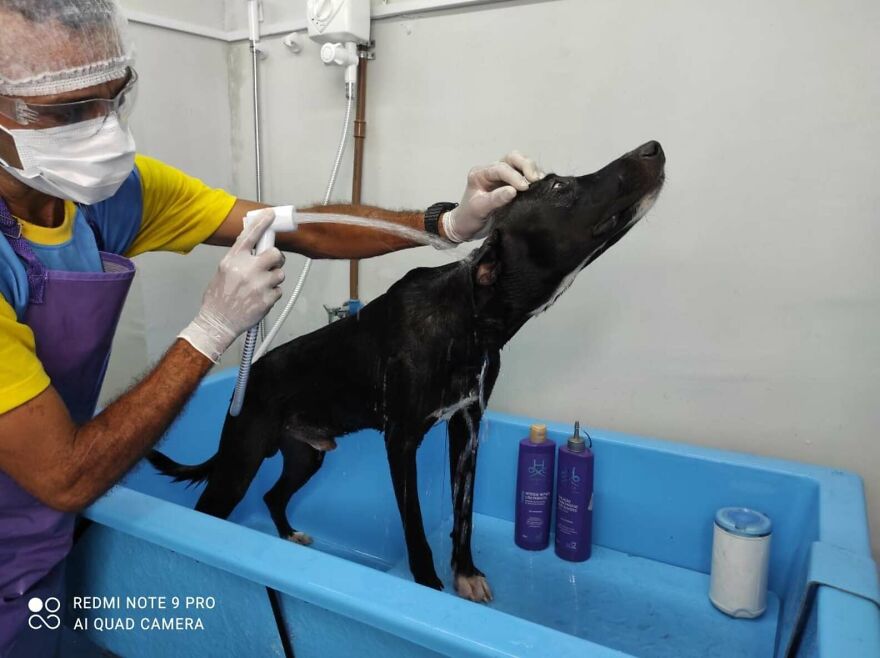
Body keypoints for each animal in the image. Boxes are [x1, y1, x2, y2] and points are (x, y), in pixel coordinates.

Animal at [148, 140, 664, 600]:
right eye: (559, 187)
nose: (654, 147)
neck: (469, 320)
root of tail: (245, 380)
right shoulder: (401, 441)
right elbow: (414, 527)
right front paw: (430, 586)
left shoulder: (467, 425)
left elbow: (464, 516)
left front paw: (465, 574)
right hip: (240, 461)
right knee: (210, 508)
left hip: (306, 456)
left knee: (274, 496)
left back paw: (290, 536)